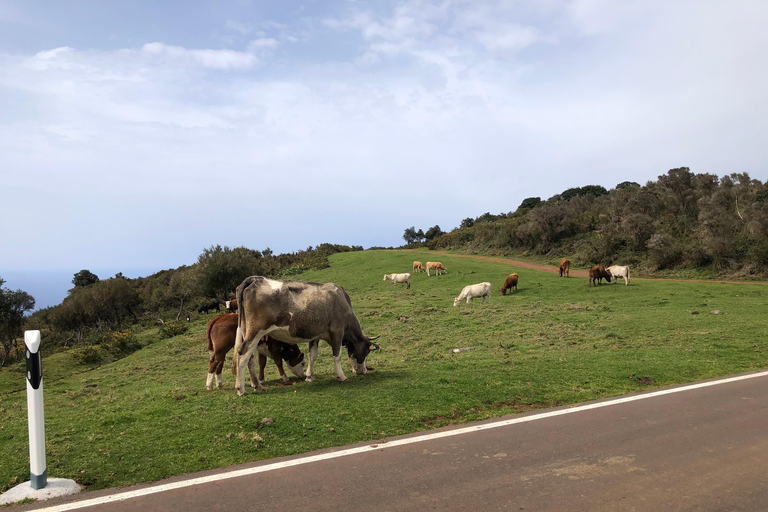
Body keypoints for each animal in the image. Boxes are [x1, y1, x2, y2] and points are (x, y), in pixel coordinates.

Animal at [232, 276, 380, 396]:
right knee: (243, 355)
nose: (364, 371)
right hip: (256, 332)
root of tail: (255, 279)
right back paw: (241, 389)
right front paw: (342, 376)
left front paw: (310, 377)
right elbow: (336, 356)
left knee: (250, 359)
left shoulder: (315, 335)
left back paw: (257, 385)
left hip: (247, 333)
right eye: (366, 353)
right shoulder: (337, 331)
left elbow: (312, 355)